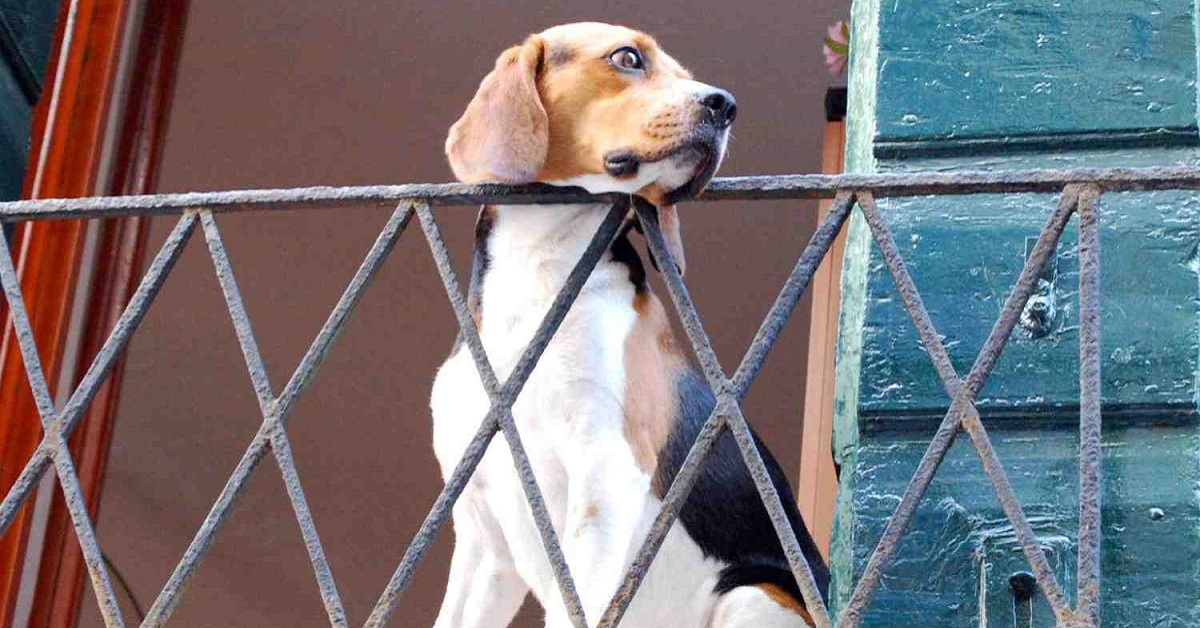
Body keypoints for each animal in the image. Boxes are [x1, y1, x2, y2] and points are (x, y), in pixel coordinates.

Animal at [429, 22, 825, 628]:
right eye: (628, 58)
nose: (725, 105)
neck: (540, 269)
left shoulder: (604, 478)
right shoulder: (483, 540)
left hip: (750, 594)